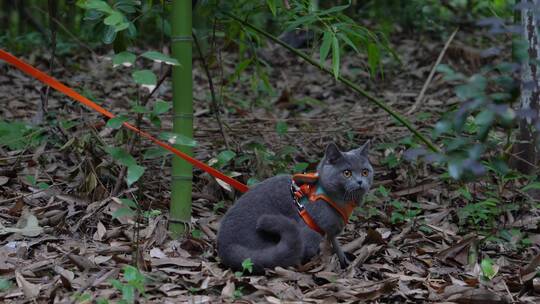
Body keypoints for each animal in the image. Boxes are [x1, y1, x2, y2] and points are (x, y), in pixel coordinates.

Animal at [215, 142, 372, 274]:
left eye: (365, 172)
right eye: (347, 173)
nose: (360, 181)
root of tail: (225, 247)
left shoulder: (331, 231)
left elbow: (335, 243)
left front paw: (344, 261)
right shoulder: (311, 230)